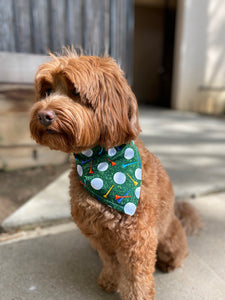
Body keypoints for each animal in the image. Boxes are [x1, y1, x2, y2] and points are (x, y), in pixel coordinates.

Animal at [29, 49, 200, 300]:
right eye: (47, 91)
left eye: (76, 92)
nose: (43, 115)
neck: (100, 163)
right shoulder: (98, 234)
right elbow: (110, 261)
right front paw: (110, 280)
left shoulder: (138, 238)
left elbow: (136, 277)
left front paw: (137, 296)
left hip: (168, 237)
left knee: (179, 251)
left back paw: (170, 263)